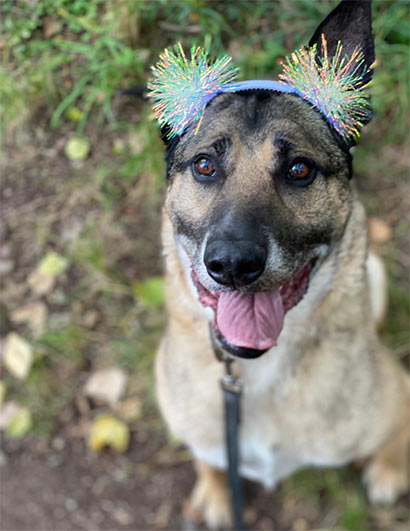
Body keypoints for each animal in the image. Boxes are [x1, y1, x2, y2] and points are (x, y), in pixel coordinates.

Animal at [154, 1, 410, 528]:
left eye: (300, 169)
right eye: (204, 165)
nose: (232, 264)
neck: (259, 371)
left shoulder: (400, 397)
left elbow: (397, 439)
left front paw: (389, 471)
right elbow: (208, 459)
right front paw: (215, 494)